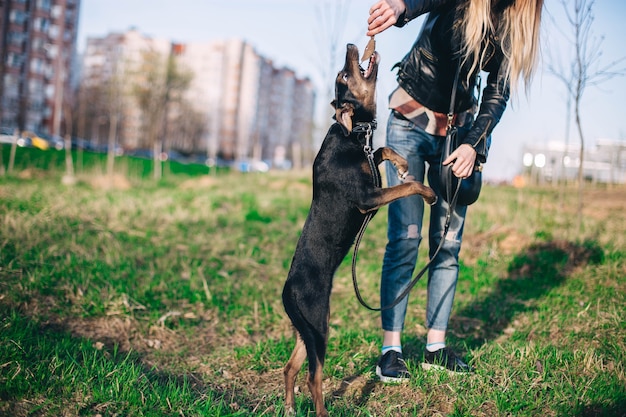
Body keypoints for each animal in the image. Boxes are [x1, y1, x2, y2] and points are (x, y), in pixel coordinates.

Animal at [280, 44, 436, 414]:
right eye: (344, 75)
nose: (353, 46)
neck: (351, 133)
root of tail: (286, 292)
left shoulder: (371, 169)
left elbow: (382, 149)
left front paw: (402, 163)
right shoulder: (368, 198)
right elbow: (408, 187)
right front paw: (428, 192)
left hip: (308, 329)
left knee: (290, 367)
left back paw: (290, 407)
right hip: (318, 328)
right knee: (313, 378)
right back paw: (321, 411)